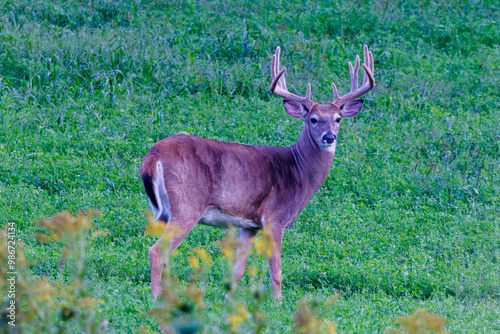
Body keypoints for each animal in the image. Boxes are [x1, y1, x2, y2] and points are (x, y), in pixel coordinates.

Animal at [141, 45, 376, 300]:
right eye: (313, 119)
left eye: (338, 119)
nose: (329, 137)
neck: (298, 171)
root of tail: (152, 157)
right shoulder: (275, 217)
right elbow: (276, 269)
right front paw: (278, 302)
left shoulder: (249, 225)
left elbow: (237, 269)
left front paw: (229, 301)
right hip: (187, 205)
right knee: (157, 251)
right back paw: (157, 298)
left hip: (164, 212)